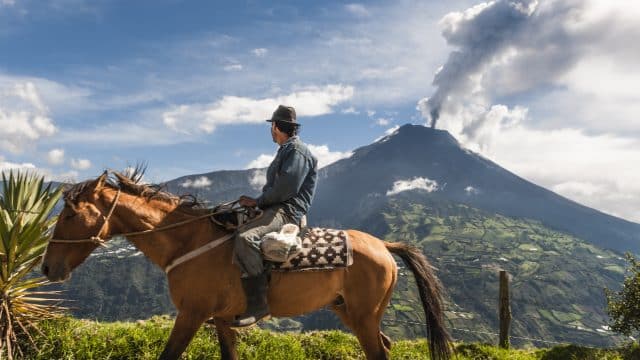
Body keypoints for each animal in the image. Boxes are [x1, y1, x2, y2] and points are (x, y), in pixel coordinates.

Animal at [41, 172, 450, 360]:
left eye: (69, 216)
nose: (46, 269)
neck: (189, 241)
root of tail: (384, 245)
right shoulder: (222, 320)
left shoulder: (191, 314)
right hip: (348, 311)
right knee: (383, 346)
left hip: (363, 315)